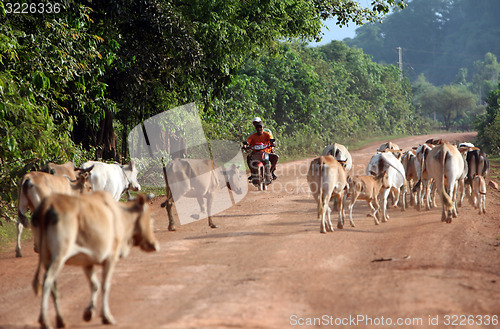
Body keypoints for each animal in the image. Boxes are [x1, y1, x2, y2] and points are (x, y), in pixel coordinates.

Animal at [31, 191, 158, 328]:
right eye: (151, 216)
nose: (154, 245)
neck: (120, 215)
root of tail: (47, 204)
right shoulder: (111, 257)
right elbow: (105, 285)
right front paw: (106, 316)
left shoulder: (87, 261)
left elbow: (95, 285)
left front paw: (89, 312)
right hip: (59, 255)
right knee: (47, 281)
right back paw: (45, 321)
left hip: (46, 257)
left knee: (54, 286)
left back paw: (60, 320)